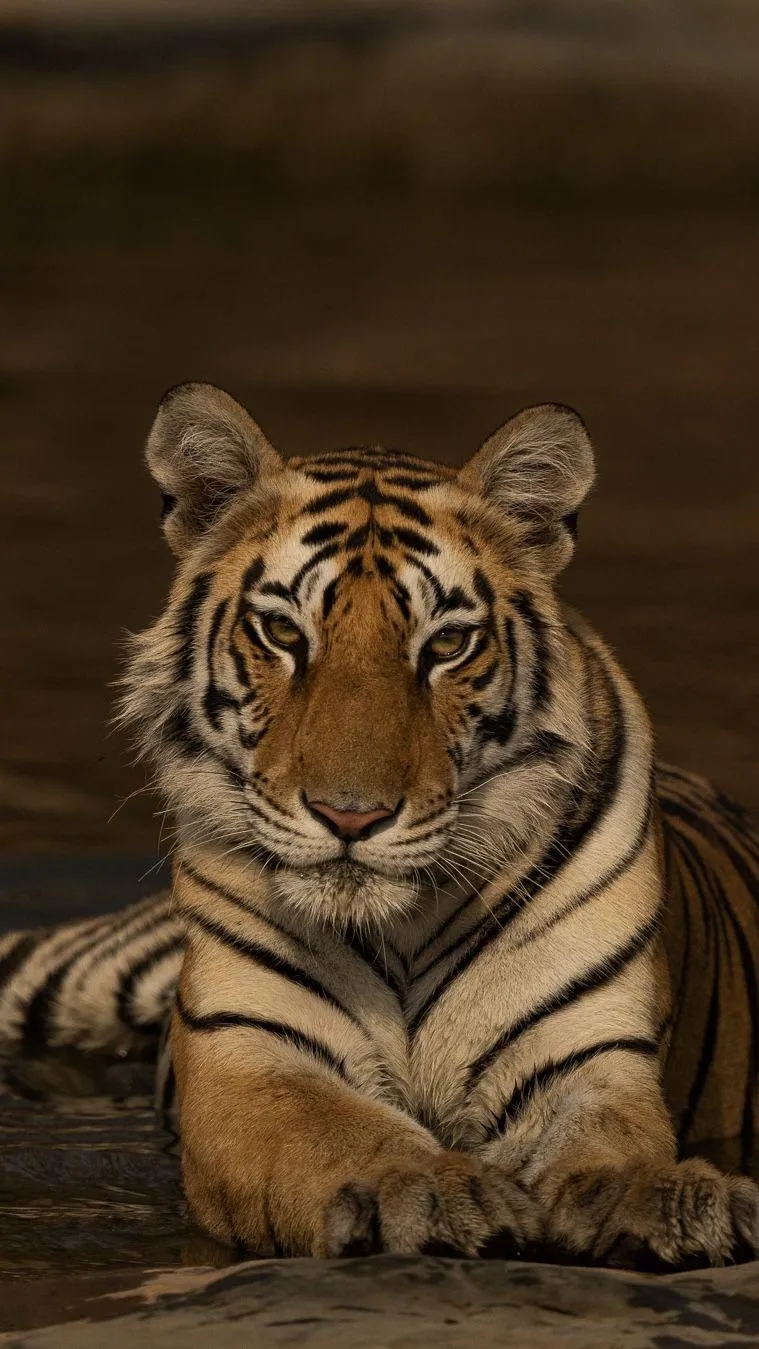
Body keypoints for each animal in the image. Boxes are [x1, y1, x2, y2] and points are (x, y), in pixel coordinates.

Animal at [1, 382, 758, 1269]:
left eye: (448, 643)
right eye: (283, 632)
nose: (350, 814)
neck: (399, 925)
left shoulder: (587, 1052)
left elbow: (613, 1144)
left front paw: (671, 1199)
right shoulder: (248, 1052)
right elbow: (334, 1132)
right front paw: (429, 1187)